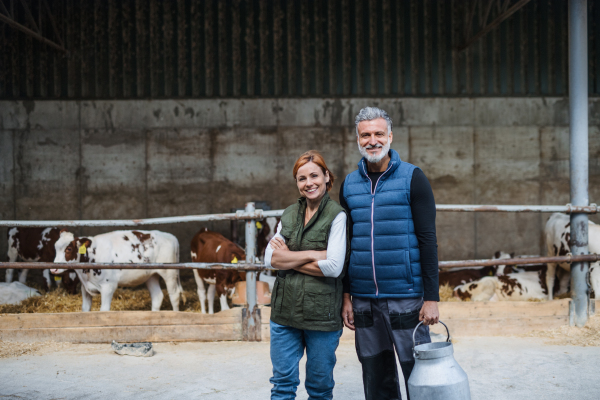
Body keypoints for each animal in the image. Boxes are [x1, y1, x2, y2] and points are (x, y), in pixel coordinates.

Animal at [50, 230, 183, 310]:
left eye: (69, 248)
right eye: (55, 247)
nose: (53, 269)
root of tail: (171, 236)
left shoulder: (108, 286)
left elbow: (104, 310)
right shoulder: (85, 288)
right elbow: (85, 309)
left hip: (170, 273)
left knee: (175, 295)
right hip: (150, 275)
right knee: (157, 296)